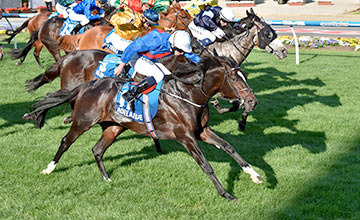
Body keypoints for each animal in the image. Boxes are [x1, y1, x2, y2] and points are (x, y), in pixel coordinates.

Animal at [22, 55, 260, 201]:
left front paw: (254, 174)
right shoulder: (186, 136)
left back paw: (107, 178)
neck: (188, 95)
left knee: (97, 150)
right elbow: (206, 165)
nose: (252, 102)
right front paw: (225, 194)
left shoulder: (202, 132)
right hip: (83, 121)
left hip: (114, 127)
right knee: (65, 142)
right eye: (233, 78)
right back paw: (49, 168)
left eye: (245, 77)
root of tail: (86, 86)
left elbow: (229, 147)